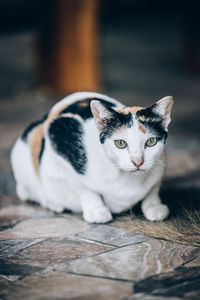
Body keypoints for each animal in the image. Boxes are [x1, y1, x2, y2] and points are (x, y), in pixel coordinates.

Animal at [10, 91, 173, 223]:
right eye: (120, 143)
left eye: (151, 142)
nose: (138, 162)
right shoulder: (57, 133)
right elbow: (83, 187)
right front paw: (97, 211)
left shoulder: (161, 163)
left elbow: (153, 187)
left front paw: (154, 206)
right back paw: (53, 203)